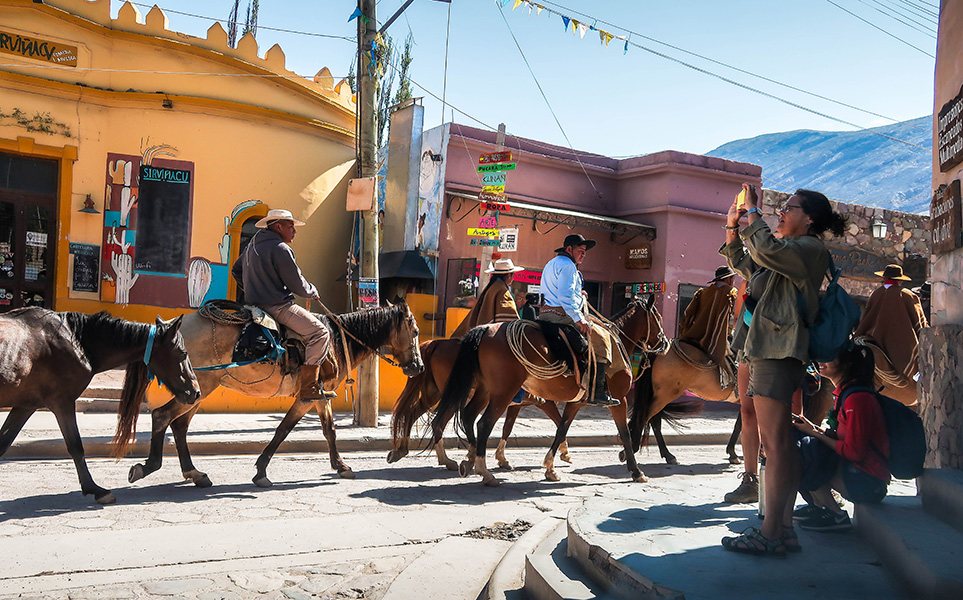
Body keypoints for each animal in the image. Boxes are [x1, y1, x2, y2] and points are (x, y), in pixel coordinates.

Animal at [0, 308, 200, 504]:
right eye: (183, 353)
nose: (195, 391)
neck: (76, 341)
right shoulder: (62, 401)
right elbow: (76, 446)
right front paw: (96, 490)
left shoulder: (26, 406)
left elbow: (4, 442)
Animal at [116, 302, 422, 490]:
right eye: (416, 331)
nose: (418, 367)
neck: (337, 340)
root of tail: (170, 328)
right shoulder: (311, 396)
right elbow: (291, 430)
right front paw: (262, 471)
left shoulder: (316, 397)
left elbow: (318, 431)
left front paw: (339, 465)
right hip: (199, 385)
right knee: (162, 415)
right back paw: (148, 466)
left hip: (198, 390)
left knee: (178, 425)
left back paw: (195, 473)